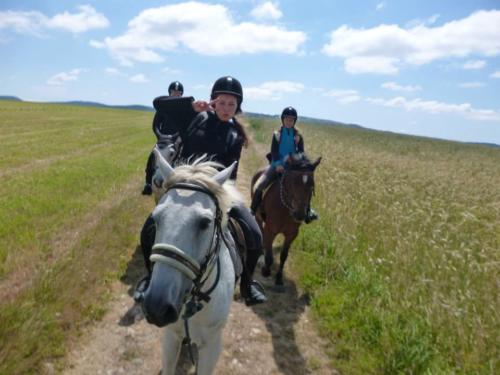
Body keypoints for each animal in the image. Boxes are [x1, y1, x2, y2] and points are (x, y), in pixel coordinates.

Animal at [250, 157, 324, 286]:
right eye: (292, 183)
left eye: (312, 185)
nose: (299, 214)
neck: (285, 208)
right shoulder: (270, 230)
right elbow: (269, 256)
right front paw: (266, 270)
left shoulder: (292, 234)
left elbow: (284, 255)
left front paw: (279, 278)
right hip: (258, 216)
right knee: (260, 229)